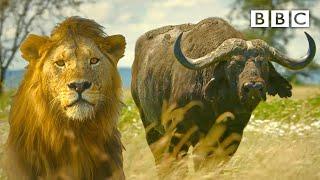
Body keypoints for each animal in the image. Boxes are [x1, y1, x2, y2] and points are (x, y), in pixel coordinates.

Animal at [131, 17, 316, 165]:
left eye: (263, 63)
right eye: (234, 64)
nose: (253, 87)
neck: (215, 105)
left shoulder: (232, 136)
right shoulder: (177, 133)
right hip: (150, 127)